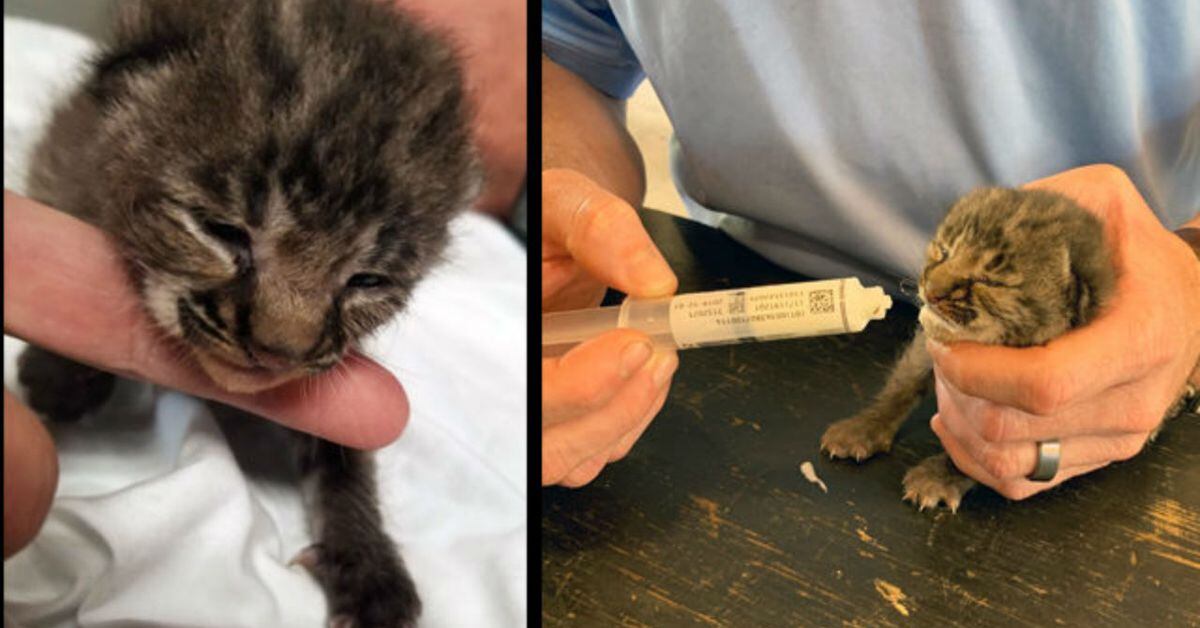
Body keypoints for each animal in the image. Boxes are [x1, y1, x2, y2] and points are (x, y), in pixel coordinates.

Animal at [18, 2, 475, 624]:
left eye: (367, 280)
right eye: (222, 231)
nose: (278, 352)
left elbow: (344, 454)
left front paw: (368, 562)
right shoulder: (69, 148)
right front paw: (59, 373)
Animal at [820, 189, 1185, 513]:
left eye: (990, 281)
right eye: (944, 251)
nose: (930, 291)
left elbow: (981, 455)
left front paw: (943, 474)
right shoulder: (930, 341)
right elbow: (904, 382)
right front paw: (865, 426)